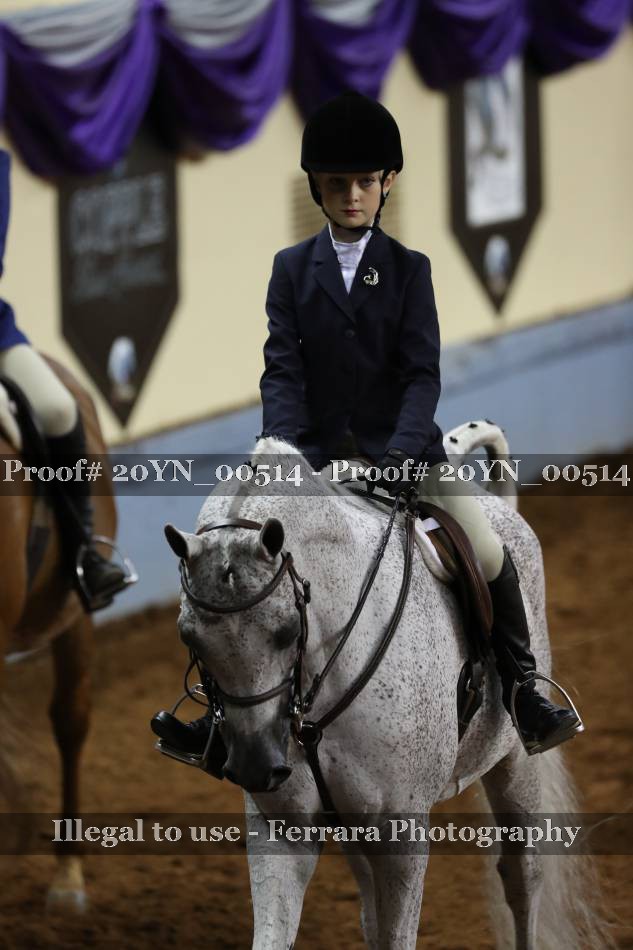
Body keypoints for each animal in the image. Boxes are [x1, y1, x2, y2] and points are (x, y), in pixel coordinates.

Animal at [163, 425, 605, 949]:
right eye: (189, 638)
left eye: (288, 632)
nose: (254, 767)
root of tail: (500, 504)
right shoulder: (285, 829)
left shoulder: (401, 831)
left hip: (514, 760)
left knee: (523, 876)